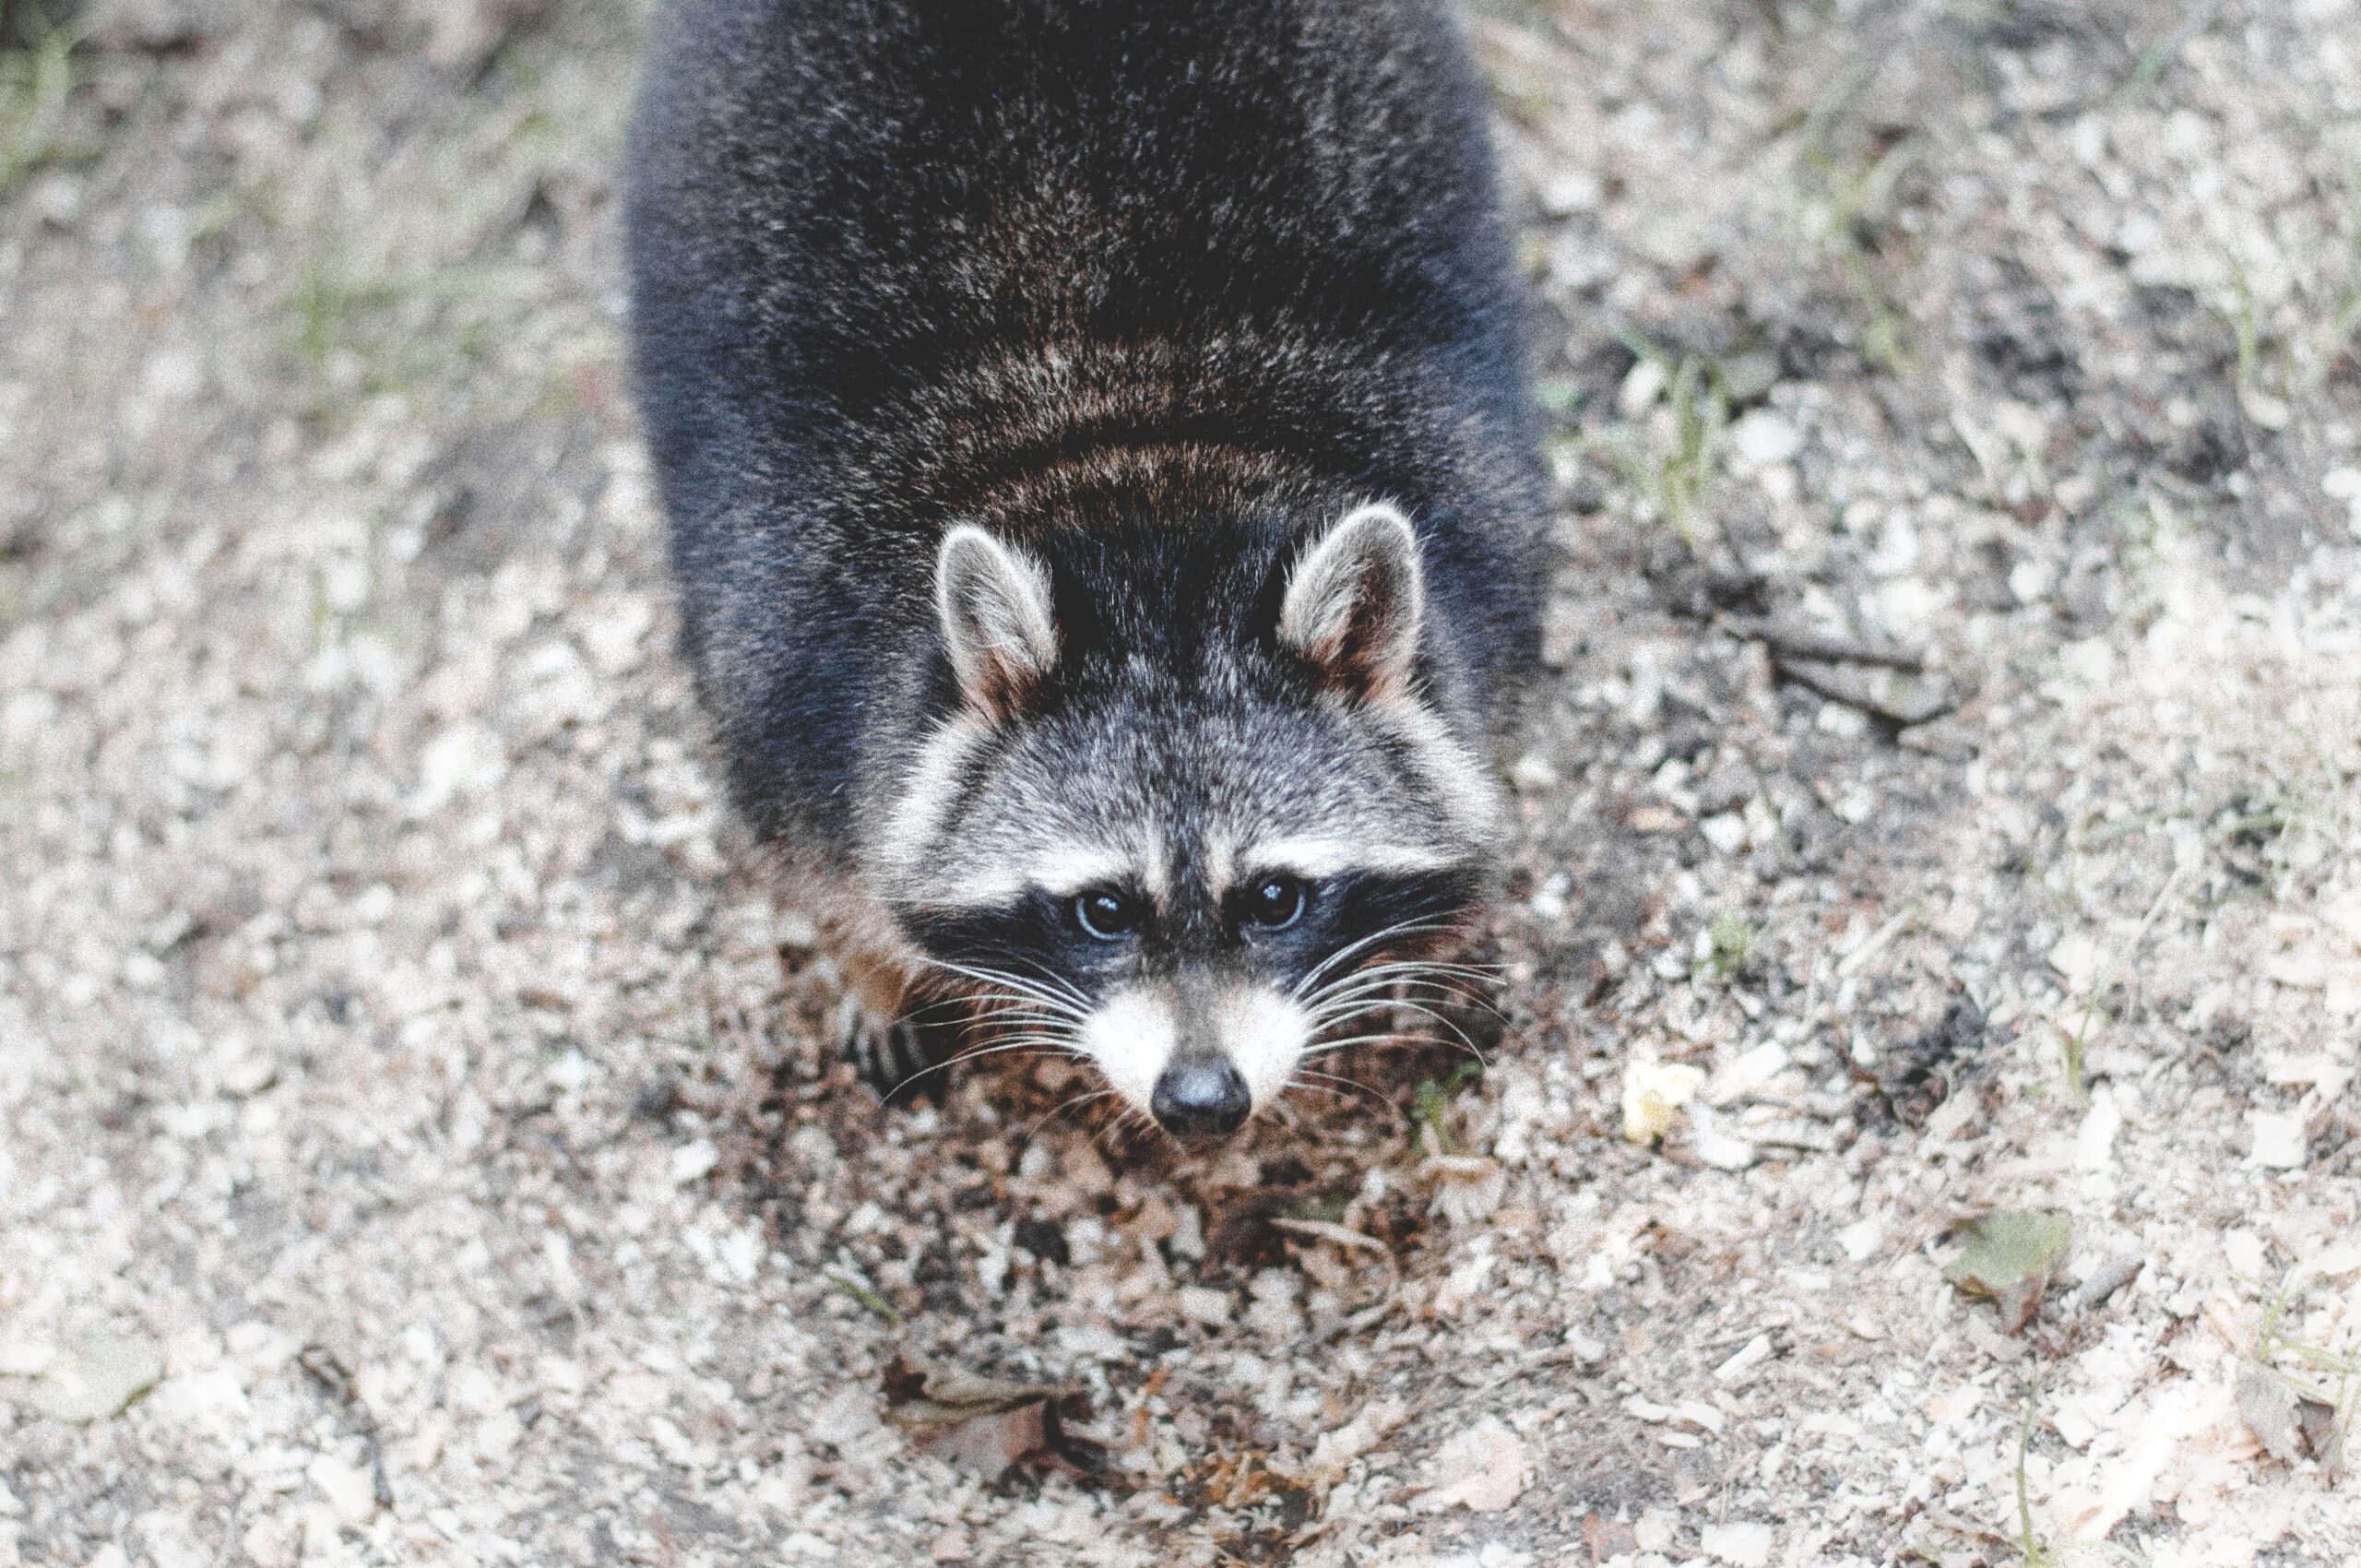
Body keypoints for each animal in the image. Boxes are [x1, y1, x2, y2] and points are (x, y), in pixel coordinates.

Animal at [627, 0, 1548, 1138]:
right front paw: (870, 966)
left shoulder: (1484, 544)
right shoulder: (783, 655)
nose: (1201, 1101)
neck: (1133, 465)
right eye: (1102, 909)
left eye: (1275, 898)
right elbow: (814, 854)